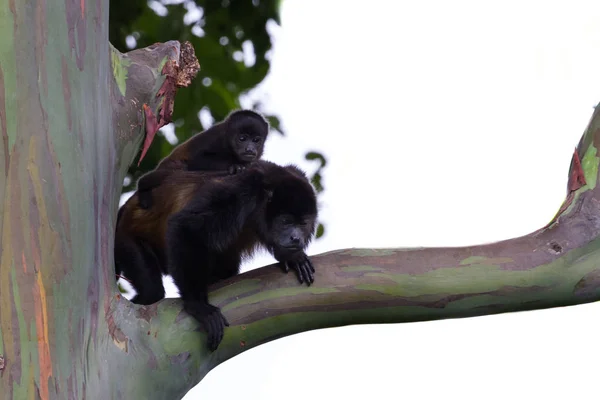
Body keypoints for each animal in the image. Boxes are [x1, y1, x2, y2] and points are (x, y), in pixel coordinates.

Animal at [113, 161, 318, 352]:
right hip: (125, 239)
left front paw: (293, 257)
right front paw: (199, 306)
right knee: (152, 291)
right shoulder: (243, 190)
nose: (296, 237)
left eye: (303, 223)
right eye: (286, 221)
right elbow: (186, 226)